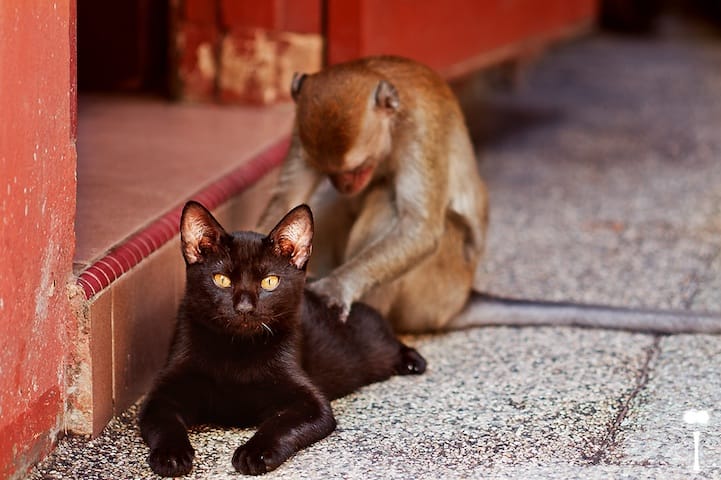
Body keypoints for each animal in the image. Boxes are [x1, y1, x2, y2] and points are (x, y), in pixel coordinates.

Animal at [138, 201, 424, 474]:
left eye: (269, 282)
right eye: (221, 279)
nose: (244, 307)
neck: (238, 350)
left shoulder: (312, 404)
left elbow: (279, 422)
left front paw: (255, 453)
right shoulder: (161, 395)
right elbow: (165, 423)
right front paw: (171, 455)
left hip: (369, 341)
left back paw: (412, 361)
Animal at [258, 54, 720, 336]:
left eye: (356, 169)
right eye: (332, 172)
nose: (344, 184)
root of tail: (463, 298)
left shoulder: (421, 127)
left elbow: (420, 228)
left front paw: (337, 287)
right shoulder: (300, 132)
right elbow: (287, 197)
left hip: (437, 288)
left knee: (387, 203)